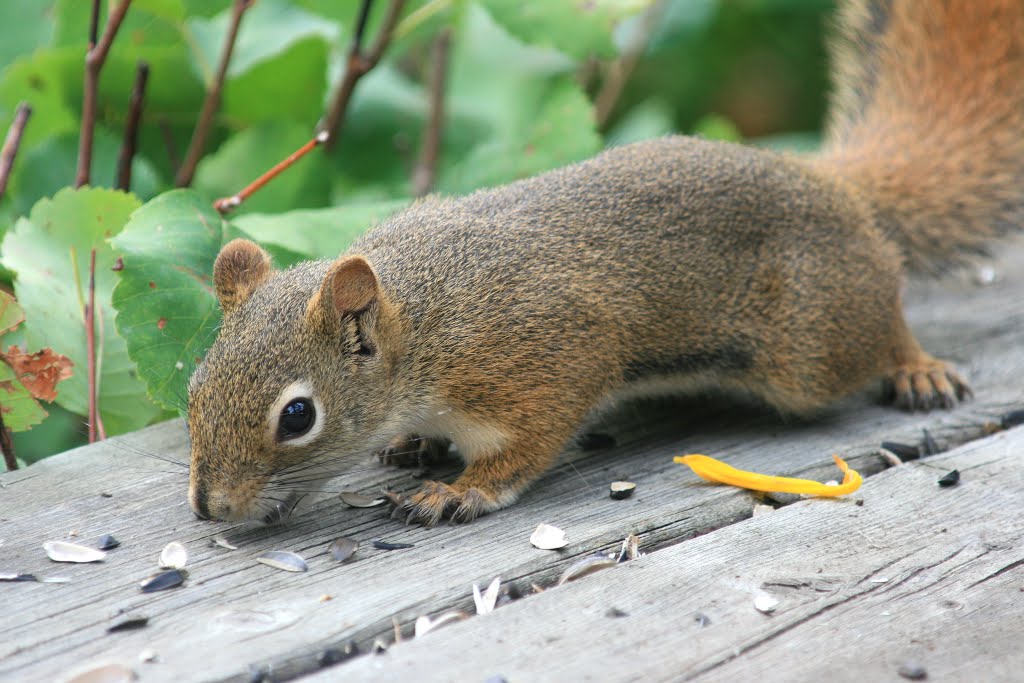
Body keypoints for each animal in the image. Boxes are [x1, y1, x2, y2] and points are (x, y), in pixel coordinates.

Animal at [186, 0, 1024, 528]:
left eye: (298, 416)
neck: (423, 318)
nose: (208, 507)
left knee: (879, 324)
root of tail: (831, 183)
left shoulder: (544, 357)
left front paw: (462, 490)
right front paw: (419, 445)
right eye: (194, 384)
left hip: (811, 345)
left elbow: (530, 441)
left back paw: (917, 366)